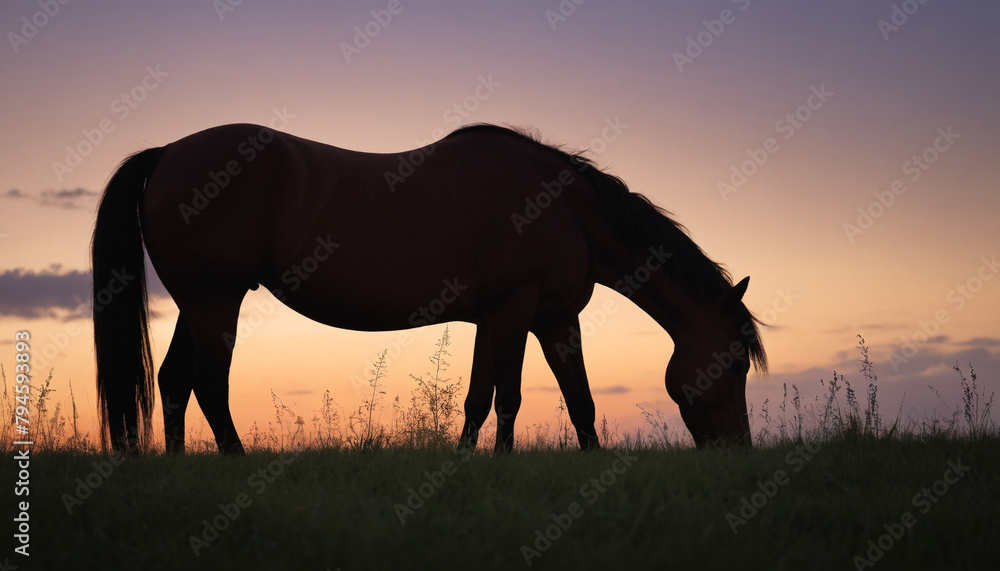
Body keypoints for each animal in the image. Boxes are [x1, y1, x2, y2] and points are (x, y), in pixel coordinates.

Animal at [91, 123, 766, 455]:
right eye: (734, 363)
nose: (737, 453)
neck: (564, 208)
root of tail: (168, 153)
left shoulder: (532, 318)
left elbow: (545, 399)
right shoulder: (515, 312)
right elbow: (510, 397)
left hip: (198, 303)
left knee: (174, 381)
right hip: (217, 301)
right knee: (208, 384)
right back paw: (234, 462)